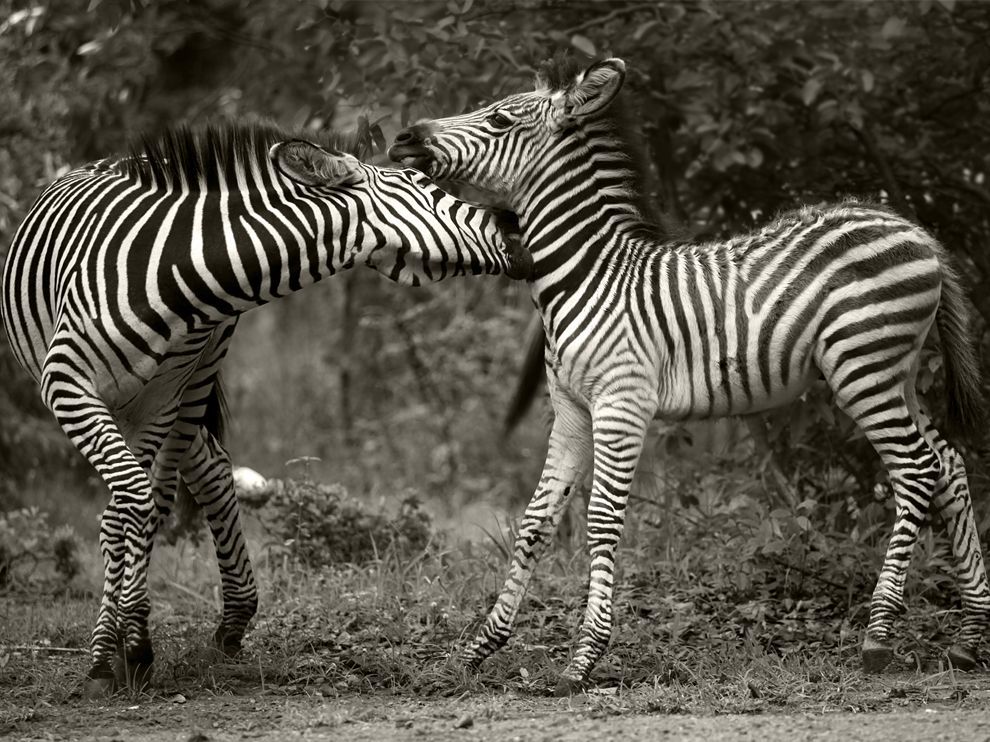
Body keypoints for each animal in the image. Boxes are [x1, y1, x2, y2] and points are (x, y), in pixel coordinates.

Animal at [0, 120, 532, 695]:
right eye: (424, 185)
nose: (519, 227)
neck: (179, 271)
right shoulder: (67, 383)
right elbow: (127, 506)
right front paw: (112, 653)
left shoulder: (158, 399)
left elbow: (134, 508)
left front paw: (128, 645)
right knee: (163, 486)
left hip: (194, 376)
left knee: (202, 471)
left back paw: (230, 619)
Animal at [388, 56, 989, 694]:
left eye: (500, 119)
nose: (404, 137)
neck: (584, 277)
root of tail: (915, 231)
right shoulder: (570, 410)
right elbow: (534, 525)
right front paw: (477, 650)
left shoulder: (622, 405)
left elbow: (602, 523)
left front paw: (582, 660)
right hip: (895, 372)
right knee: (949, 463)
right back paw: (970, 638)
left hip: (863, 367)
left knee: (917, 469)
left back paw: (878, 636)